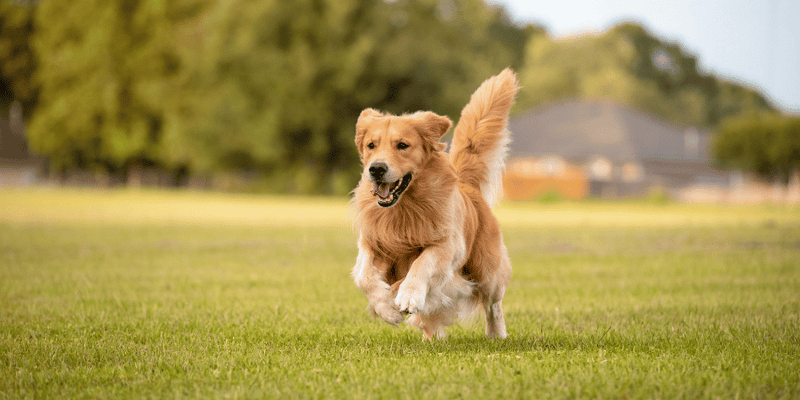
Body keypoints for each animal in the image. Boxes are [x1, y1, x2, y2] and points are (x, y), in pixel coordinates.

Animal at [350, 70, 520, 340]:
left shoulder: (447, 245)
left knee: (493, 304)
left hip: (487, 269)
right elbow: (364, 276)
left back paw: (496, 334)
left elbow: (421, 264)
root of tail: (467, 186)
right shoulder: (372, 242)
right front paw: (386, 308)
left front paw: (408, 295)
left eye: (402, 145)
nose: (376, 169)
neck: (404, 208)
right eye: (371, 145)